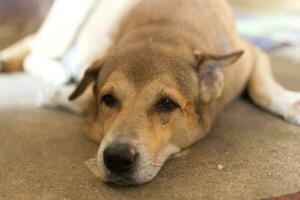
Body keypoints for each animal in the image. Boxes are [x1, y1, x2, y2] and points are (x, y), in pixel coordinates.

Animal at [0, 0, 300, 185]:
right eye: (108, 99)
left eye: (166, 103)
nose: (117, 158)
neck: (162, 29)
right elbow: (63, 98)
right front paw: (54, 93)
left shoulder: (250, 53)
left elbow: (261, 88)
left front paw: (292, 104)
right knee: (35, 54)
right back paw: (54, 69)